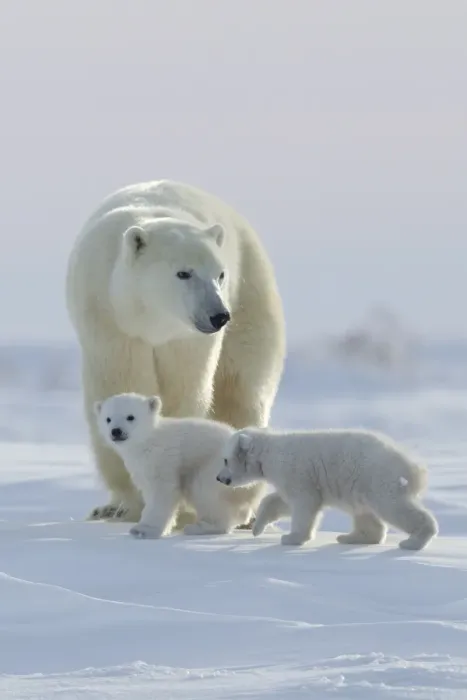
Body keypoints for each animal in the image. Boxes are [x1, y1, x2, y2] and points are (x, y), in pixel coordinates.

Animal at [66, 179, 286, 524]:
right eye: (184, 273)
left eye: (220, 274)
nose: (219, 316)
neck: (152, 319)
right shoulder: (110, 320)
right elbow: (121, 382)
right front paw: (129, 502)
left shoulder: (186, 340)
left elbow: (187, 393)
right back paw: (108, 508)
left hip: (252, 293)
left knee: (240, 392)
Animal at [94, 392, 266, 539]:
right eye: (108, 419)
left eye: (130, 417)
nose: (116, 431)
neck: (148, 442)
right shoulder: (140, 468)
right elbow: (149, 491)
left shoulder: (164, 459)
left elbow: (162, 492)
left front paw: (144, 530)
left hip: (218, 467)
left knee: (204, 490)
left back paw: (201, 527)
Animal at [216, 427, 439, 550]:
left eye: (225, 460)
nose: (219, 478)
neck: (269, 453)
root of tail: (414, 468)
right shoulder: (287, 478)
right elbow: (280, 501)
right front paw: (257, 528)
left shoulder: (295, 471)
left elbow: (304, 503)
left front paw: (292, 538)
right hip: (360, 486)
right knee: (365, 514)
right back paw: (350, 537)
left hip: (378, 479)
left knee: (394, 507)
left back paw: (413, 541)